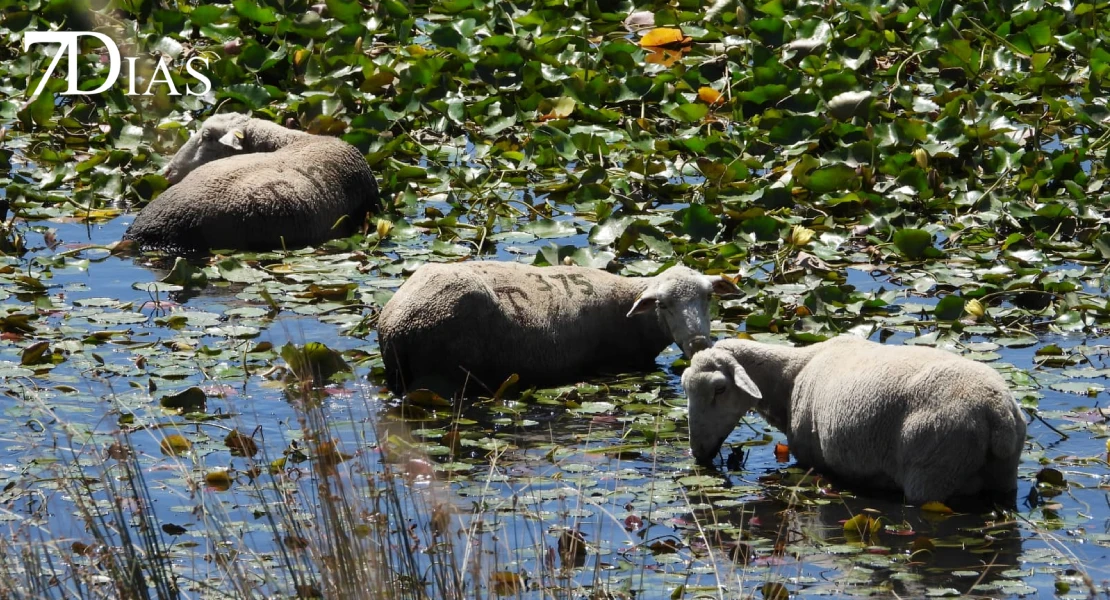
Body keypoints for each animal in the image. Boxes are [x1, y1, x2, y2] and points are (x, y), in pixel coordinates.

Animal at [682, 335, 1027, 506]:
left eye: (720, 389)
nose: (697, 451)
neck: (790, 377)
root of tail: (996, 411)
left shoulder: (809, 458)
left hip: (933, 472)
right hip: (1003, 475)